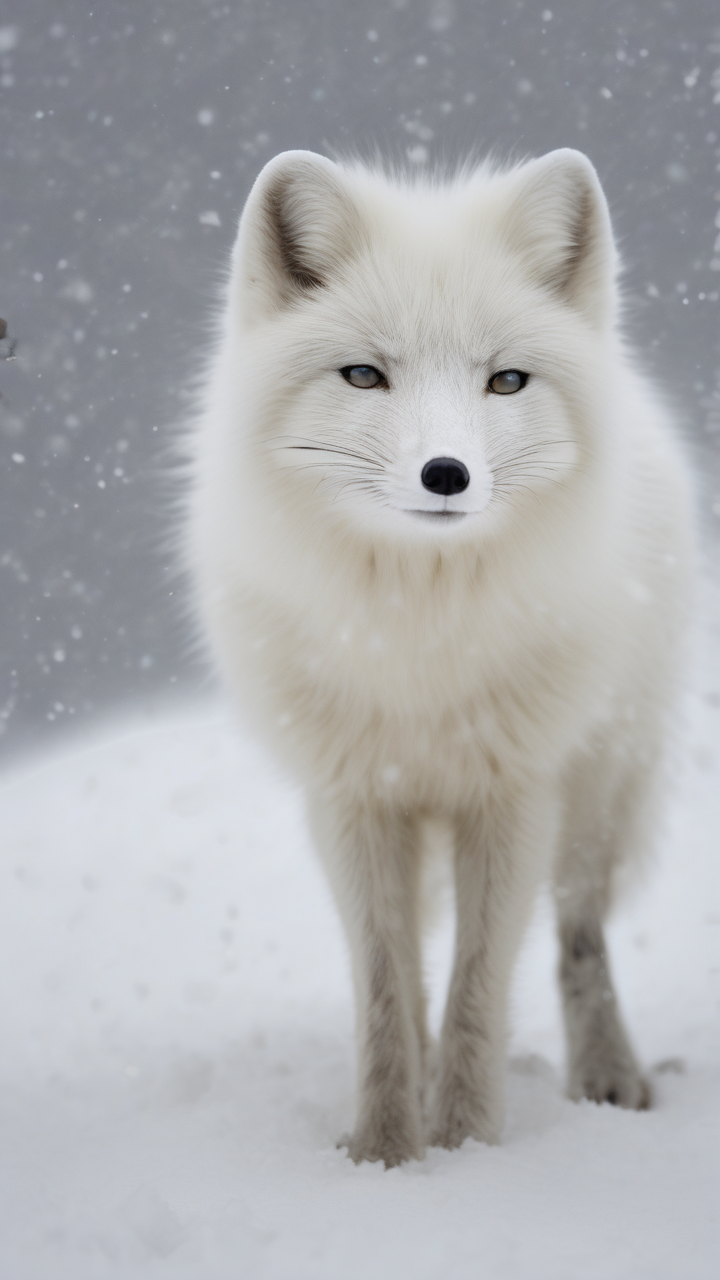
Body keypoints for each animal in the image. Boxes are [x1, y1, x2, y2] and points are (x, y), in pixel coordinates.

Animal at [187, 148, 695, 1168]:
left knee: (579, 937)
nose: (447, 474)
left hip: (597, 794)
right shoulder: (354, 796)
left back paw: (608, 1077)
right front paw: (386, 1153)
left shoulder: (513, 792)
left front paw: (464, 1149)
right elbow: (390, 989)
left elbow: (478, 985)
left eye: (506, 381)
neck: (418, 640)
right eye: (363, 375)